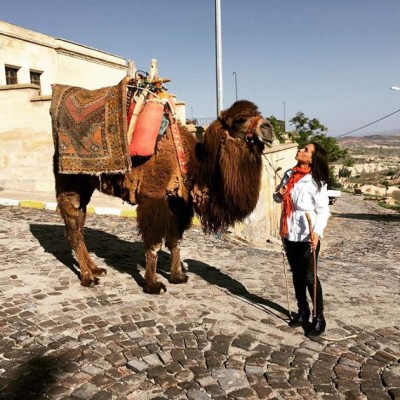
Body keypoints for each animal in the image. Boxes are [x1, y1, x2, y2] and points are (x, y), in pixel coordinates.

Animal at [52, 94, 274, 294]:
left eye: (258, 114)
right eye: (240, 119)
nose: (268, 128)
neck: (191, 164)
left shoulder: (178, 203)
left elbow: (175, 240)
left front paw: (178, 276)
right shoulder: (154, 197)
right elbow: (155, 243)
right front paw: (153, 285)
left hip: (85, 187)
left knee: (79, 225)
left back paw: (96, 269)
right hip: (69, 183)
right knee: (73, 229)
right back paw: (87, 278)